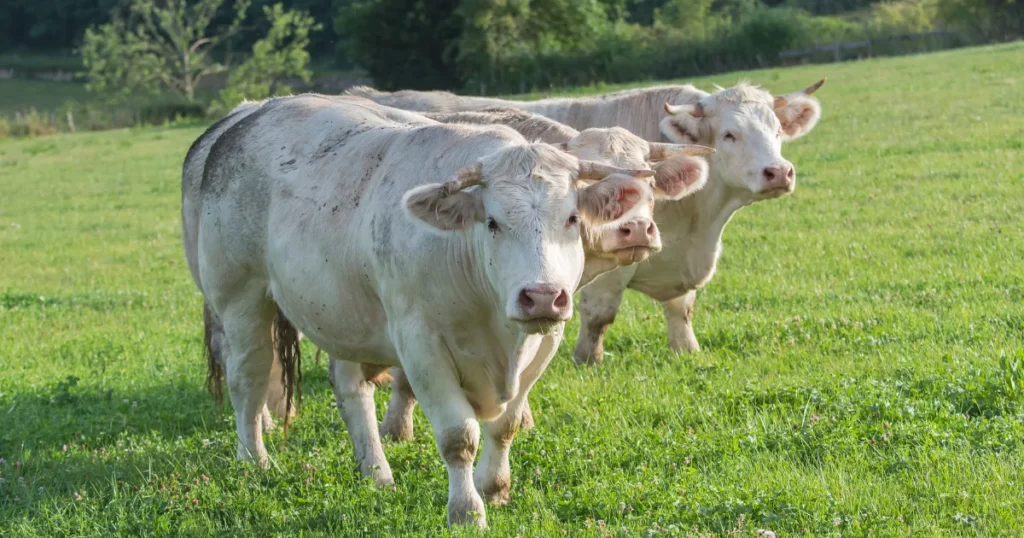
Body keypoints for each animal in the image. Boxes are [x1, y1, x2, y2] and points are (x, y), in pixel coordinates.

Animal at [183, 94, 667, 524]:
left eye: (571, 218)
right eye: (492, 222)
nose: (543, 295)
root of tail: (248, 117)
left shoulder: (545, 341)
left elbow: (505, 425)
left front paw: (495, 488)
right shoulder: (420, 346)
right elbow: (459, 436)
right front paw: (467, 511)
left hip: (340, 309)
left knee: (350, 389)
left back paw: (375, 472)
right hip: (240, 299)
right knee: (248, 378)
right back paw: (254, 459)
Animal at [348, 79, 827, 362]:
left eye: (777, 131)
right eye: (729, 134)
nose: (778, 172)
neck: (699, 224)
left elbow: (681, 308)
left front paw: (686, 350)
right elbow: (599, 315)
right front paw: (587, 359)